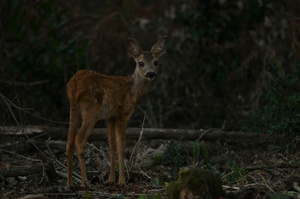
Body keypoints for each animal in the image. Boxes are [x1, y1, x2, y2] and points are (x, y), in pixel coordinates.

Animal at [66, 35, 168, 190]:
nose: (150, 74)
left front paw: (111, 180)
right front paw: (122, 182)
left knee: (69, 140)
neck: (132, 89)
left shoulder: (110, 117)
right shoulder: (122, 115)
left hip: (74, 109)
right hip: (91, 110)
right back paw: (84, 182)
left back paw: (70, 183)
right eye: (141, 63)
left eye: (156, 62)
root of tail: (74, 84)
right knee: (79, 139)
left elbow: (112, 145)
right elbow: (121, 146)